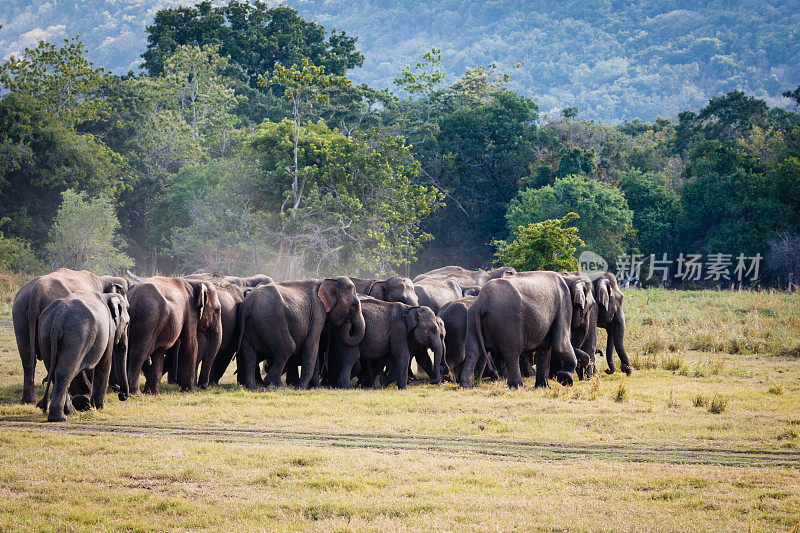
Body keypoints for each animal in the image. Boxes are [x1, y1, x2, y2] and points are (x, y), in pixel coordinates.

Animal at [12, 268, 128, 402]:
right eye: (127, 323)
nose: (121, 394)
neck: (103, 279)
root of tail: (35, 293)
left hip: (19, 314)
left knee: (28, 360)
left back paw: (28, 401)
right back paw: (82, 394)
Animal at [35, 290, 130, 420]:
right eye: (127, 323)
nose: (122, 395)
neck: (107, 295)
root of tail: (59, 314)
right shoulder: (109, 331)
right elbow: (104, 364)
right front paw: (99, 407)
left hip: (45, 334)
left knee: (54, 371)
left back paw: (70, 412)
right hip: (77, 334)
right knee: (65, 372)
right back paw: (60, 417)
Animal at [234, 278, 366, 386]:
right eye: (355, 305)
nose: (348, 324)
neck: (326, 281)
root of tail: (247, 304)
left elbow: (315, 350)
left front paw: (314, 387)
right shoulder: (318, 312)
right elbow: (311, 344)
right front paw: (301, 388)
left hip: (251, 326)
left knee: (250, 354)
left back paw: (252, 386)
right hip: (271, 319)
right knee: (288, 347)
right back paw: (274, 384)